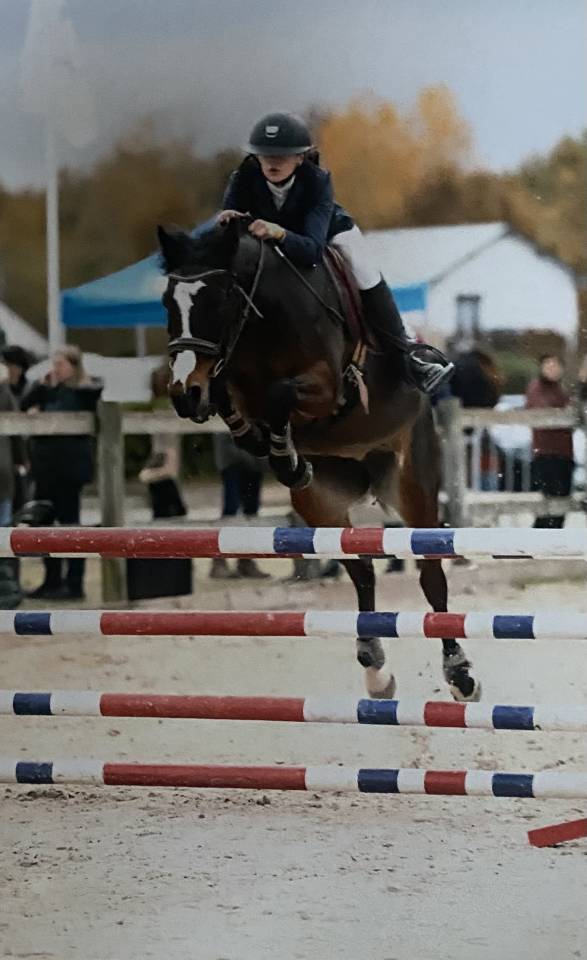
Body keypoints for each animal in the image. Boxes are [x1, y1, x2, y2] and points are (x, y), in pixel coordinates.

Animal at [158, 217, 481, 702]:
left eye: (218, 300)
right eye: (167, 303)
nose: (183, 393)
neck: (260, 323)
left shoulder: (327, 387)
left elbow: (280, 395)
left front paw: (284, 455)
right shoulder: (234, 386)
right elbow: (237, 408)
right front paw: (275, 449)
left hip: (412, 483)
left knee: (430, 573)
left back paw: (459, 671)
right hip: (321, 505)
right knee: (361, 570)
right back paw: (375, 668)